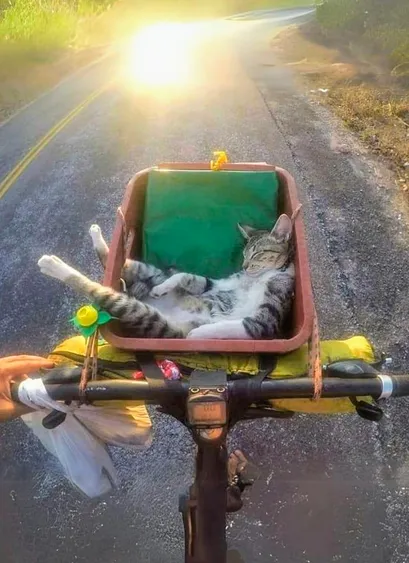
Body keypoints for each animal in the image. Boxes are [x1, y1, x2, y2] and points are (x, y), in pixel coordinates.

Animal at [37, 214, 294, 340]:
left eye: (257, 253)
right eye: (244, 253)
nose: (245, 265)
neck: (256, 277)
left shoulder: (263, 322)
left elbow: (228, 326)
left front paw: (197, 334)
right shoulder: (216, 284)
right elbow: (186, 277)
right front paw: (163, 288)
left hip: (141, 313)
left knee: (95, 288)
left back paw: (52, 264)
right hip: (148, 272)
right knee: (119, 263)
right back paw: (94, 236)